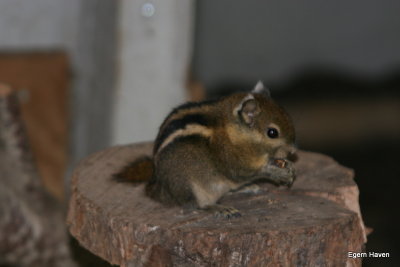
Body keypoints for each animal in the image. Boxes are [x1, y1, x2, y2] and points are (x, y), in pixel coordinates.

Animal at [114, 82, 296, 220]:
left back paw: (246, 188)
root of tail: (159, 187)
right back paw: (219, 208)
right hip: (189, 186)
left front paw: (286, 167)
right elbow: (244, 172)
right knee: (195, 206)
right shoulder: (231, 159)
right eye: (272, 133)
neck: (234, 133)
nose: (293, 152)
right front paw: (276, 173)